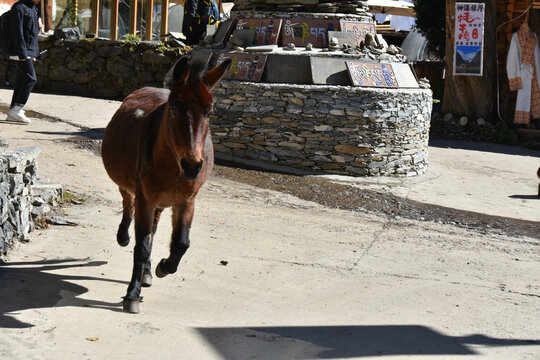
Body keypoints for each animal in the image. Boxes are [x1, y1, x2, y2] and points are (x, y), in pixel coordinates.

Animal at [101, 56, 230, 312]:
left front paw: (162, 267)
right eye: (173, 109)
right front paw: (132, 295)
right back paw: (123, 237)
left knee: (154, 229)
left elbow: (180, 243)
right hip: (134, 190)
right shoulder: (145, 199)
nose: (192, 165)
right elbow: (141, 246)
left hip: (162, 202)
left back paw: (148, 272)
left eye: (210, 112)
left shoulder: (186, 201)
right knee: (127, 204)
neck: (173, 168)